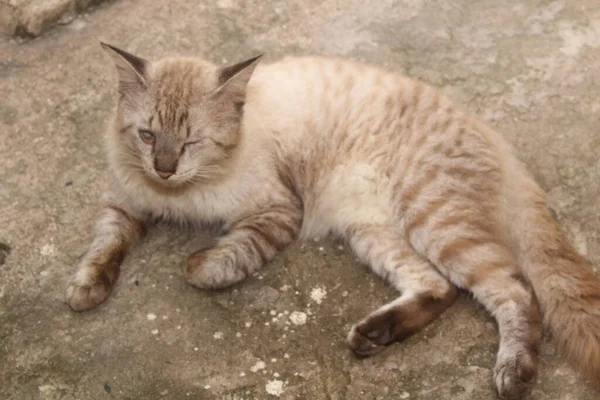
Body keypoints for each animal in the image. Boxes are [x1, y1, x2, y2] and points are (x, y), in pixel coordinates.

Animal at [64, 42, 600, 398]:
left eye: (192, 141)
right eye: (148, 136)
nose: (164, 169)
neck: (181, 195)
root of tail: (495, 137)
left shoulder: (278, 212)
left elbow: (220, 263)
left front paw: (196, 263)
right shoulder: (123, 201)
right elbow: (104, 246)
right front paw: (86, 289)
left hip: (434, 223)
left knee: (514, 290)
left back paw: (514, 373)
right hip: (372, 233)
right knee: (439, 287)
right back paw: (372, 337)